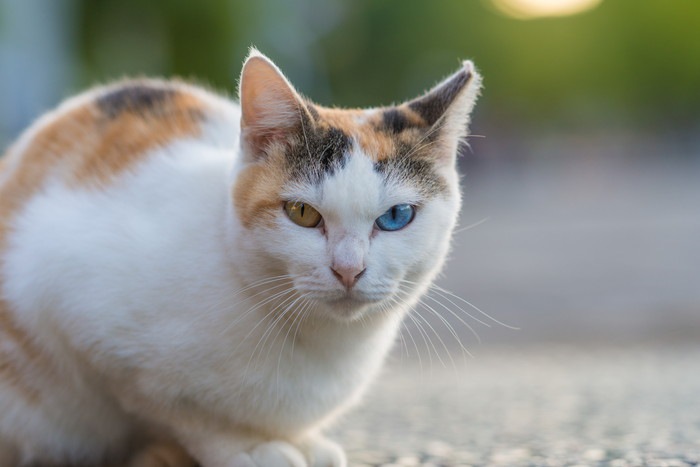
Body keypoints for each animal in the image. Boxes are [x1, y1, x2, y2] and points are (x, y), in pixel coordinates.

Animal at [0, 49, 482, 466]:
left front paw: (302, 442)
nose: (349, 269)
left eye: (397, 216)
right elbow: (181, 410)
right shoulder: (60, 291)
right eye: (302, 213)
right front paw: (249, 447)